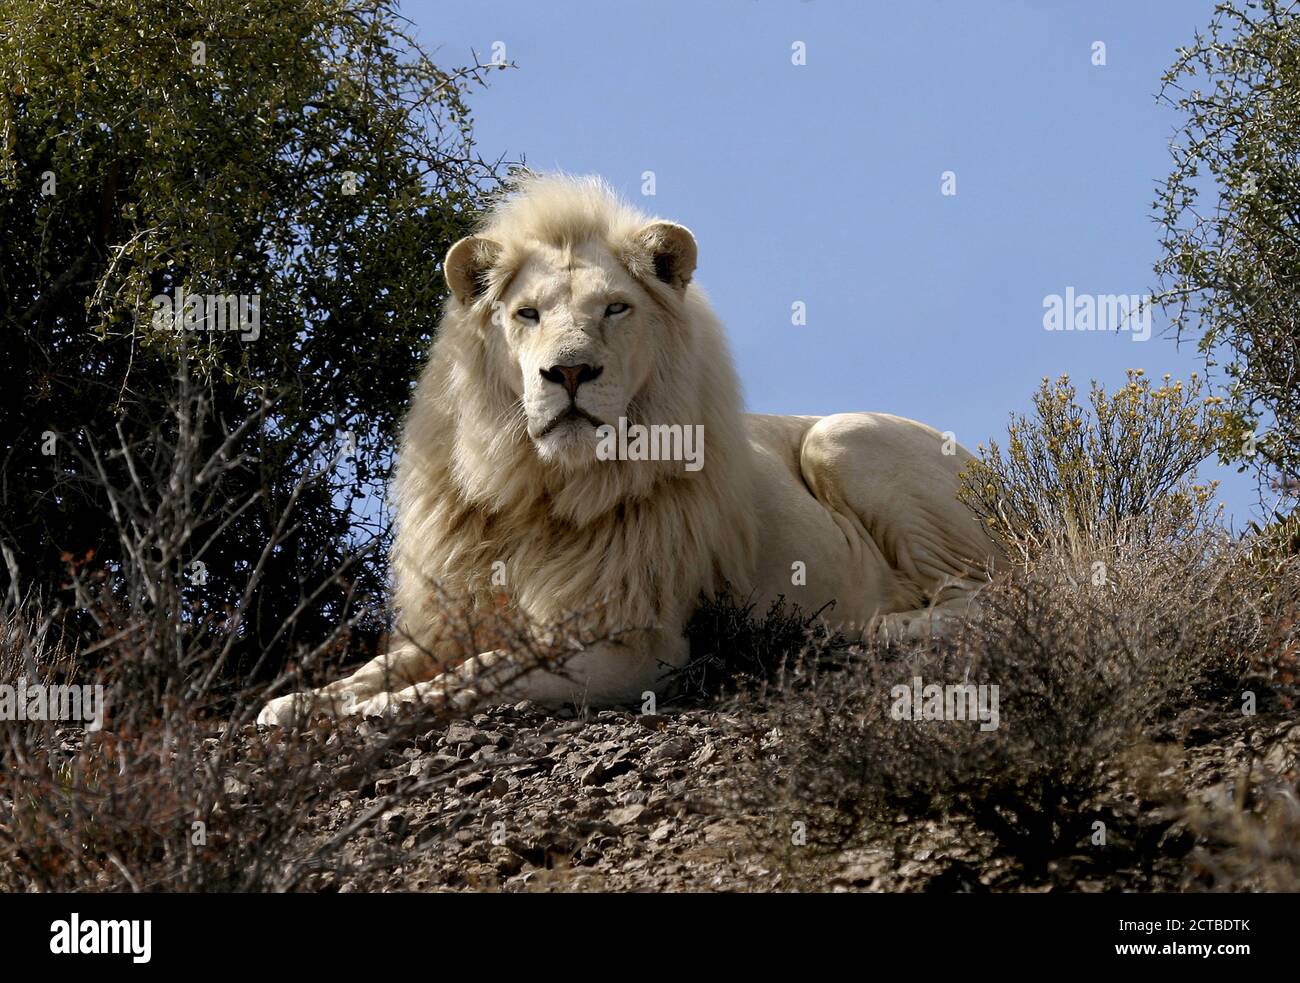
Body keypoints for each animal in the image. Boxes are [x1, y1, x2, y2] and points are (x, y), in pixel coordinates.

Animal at [257, 174, 999, 726]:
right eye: (526, 314)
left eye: (615, 308)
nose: (569, 372)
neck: (538, 488)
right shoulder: (450, 620)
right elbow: (379, 668)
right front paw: (300, 705)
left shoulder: (635, 646)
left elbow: (478, 674)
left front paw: (372, 713)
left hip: (841, 438)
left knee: (987, 591)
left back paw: (866, 627)